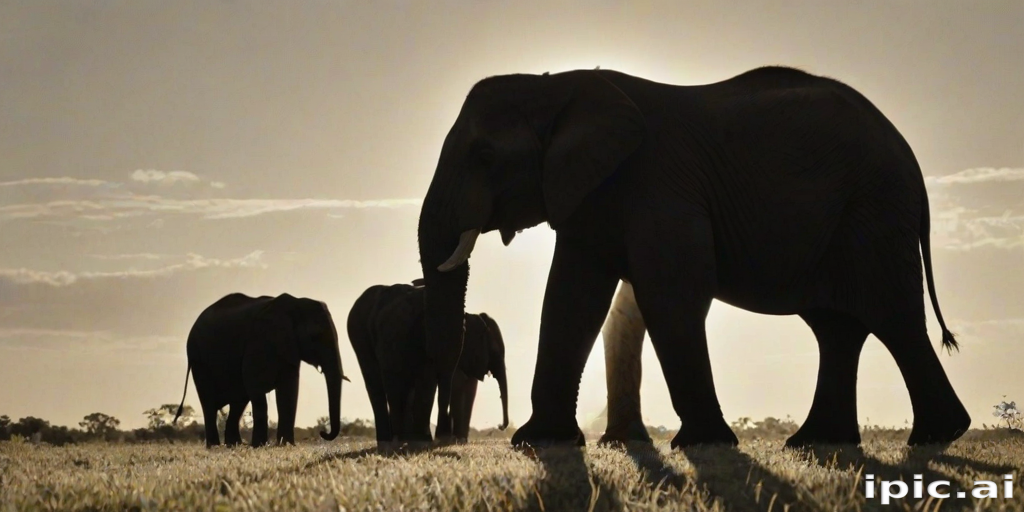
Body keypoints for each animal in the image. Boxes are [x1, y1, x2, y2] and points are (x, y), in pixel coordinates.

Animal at [173, 293, 349, 448]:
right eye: (315, 336)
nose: (322, 433)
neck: (295, 304)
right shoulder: (257, 341)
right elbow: (254, 384)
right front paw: (260, 445)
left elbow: (288, 390)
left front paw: (286, 445)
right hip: (198, 359)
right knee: (210, 403)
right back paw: (215, 446)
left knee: (239, 401)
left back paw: (234, 445)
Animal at [346, 281, 509, 447]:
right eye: (495, 352)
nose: (500, 426)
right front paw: (449, 440)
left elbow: (468, 388)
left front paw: (458, 440)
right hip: (360, 336)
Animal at [415, 65, 971, 450]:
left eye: (485, 157)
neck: (558, 85)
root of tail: (910, 157)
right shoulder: (589, 195)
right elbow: (572, 299)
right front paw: (541, 442)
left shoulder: (660, 184)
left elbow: (672, 292)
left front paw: (704, 443)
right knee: (837, 328)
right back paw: (818, 442)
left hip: (874, 213)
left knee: (892, 317)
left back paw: (936, 437)